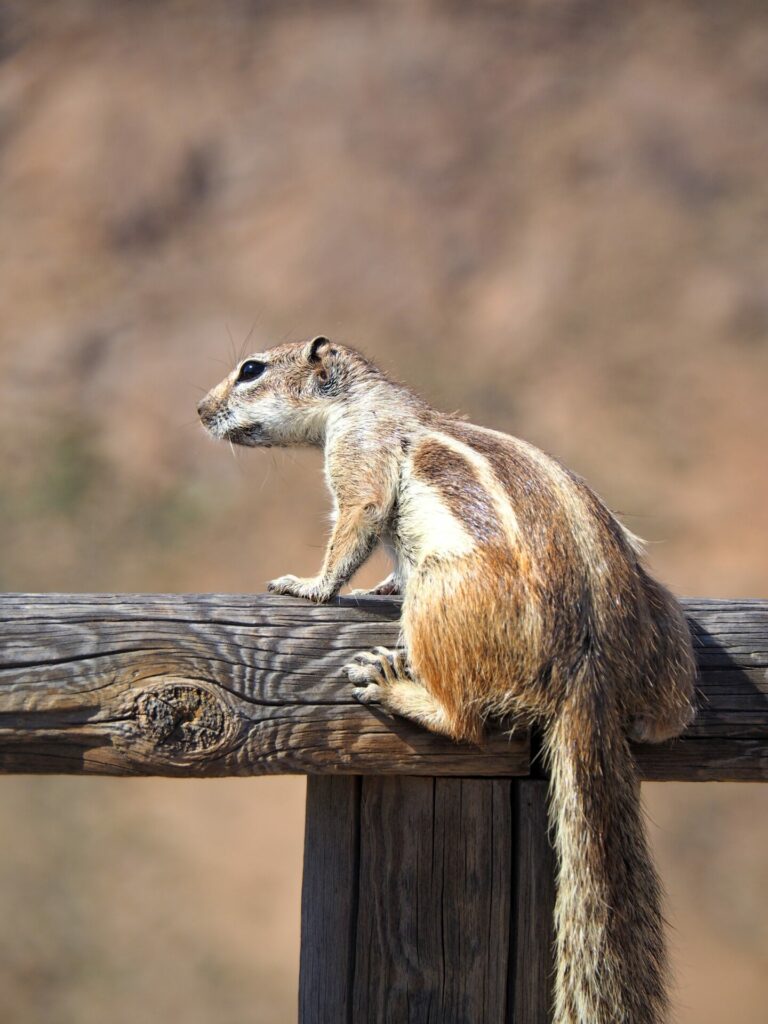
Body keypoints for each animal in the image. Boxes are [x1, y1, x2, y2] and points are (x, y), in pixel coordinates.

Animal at [196, 337, 696, 1024]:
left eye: (252, 370)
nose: (199, 411)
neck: (364, 396)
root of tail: (588, 668)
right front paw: (375, 586)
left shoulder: (360, 450)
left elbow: (356, 525)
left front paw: (309, 586)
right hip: (664, 623)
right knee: (673, 712)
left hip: (440, 594)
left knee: (465, 721)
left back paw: (395, 685)